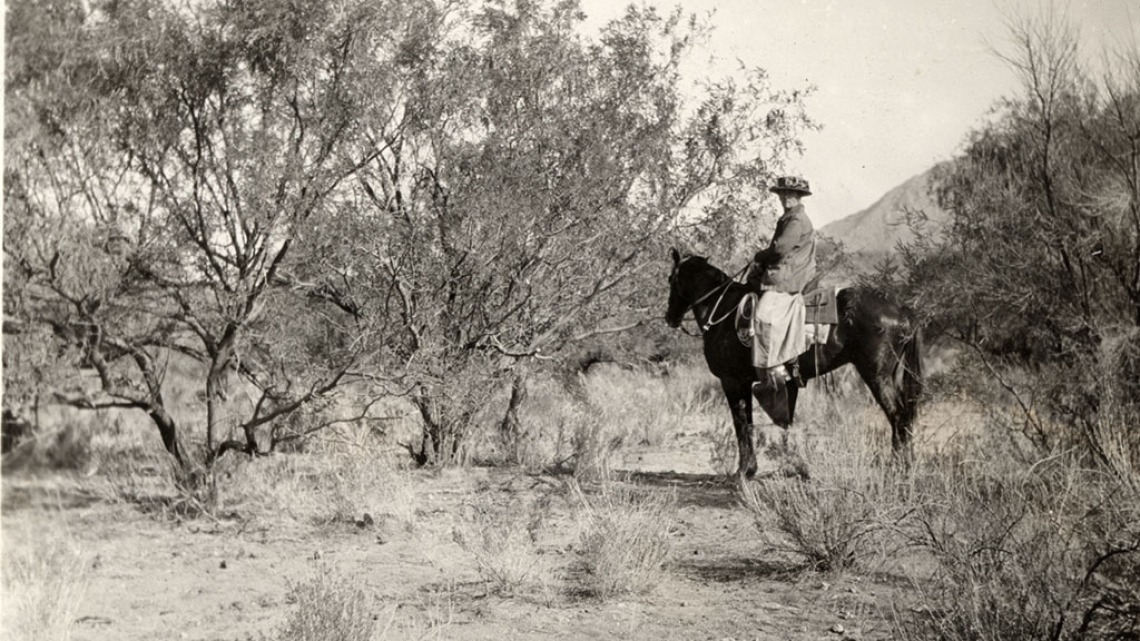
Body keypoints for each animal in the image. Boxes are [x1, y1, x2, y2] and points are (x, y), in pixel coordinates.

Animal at [665, 247, 921, 476]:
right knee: (906, 416)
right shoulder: (744, 383)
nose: (669, 318)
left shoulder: (732, 382)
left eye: (670, 280)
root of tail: (903, 310)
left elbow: (741, 424)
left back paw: (897, 468)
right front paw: (750, 469)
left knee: (897, 415)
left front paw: (743, 471)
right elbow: (748, 423)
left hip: (876, 375)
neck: (724, 309)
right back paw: (907, 466)